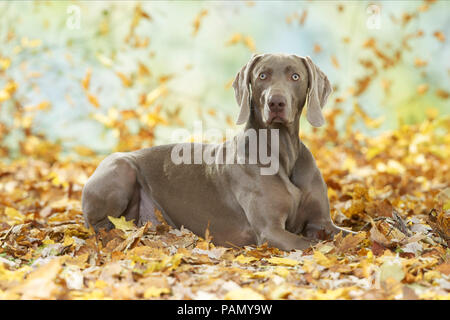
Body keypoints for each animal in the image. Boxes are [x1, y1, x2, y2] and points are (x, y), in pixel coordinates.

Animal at [82, 53, 354, 251]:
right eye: (262, 76)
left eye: (295, 76)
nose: (276, 102)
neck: (281, 150)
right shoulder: (271, 231)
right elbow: (312, 245)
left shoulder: (322, 222)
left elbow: (351, 234)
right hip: (122, 169)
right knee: (99, 226)